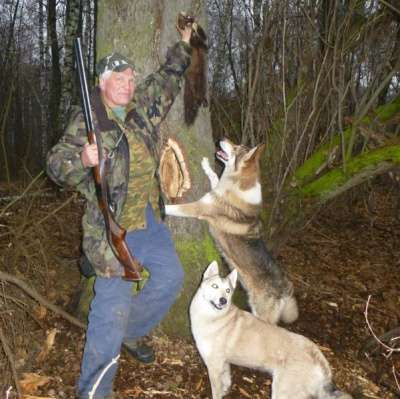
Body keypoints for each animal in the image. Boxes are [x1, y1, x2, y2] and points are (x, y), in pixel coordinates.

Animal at [164, 139, 298, 326]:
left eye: (236, 148)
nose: (222, 139)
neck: (236, 185)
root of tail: (286, 288)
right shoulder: (214, 191)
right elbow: (215, 177)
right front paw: (207, 166)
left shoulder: (198, 207)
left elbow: (172, 208)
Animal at [191, 262, 354, 399]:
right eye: (214, 286)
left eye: (228, 290)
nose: (223, 301)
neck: (215, 317)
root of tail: (318, 356)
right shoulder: (223, 363)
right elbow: (226, 381)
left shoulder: (214, 365)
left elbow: (216, 391)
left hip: (281, 392)